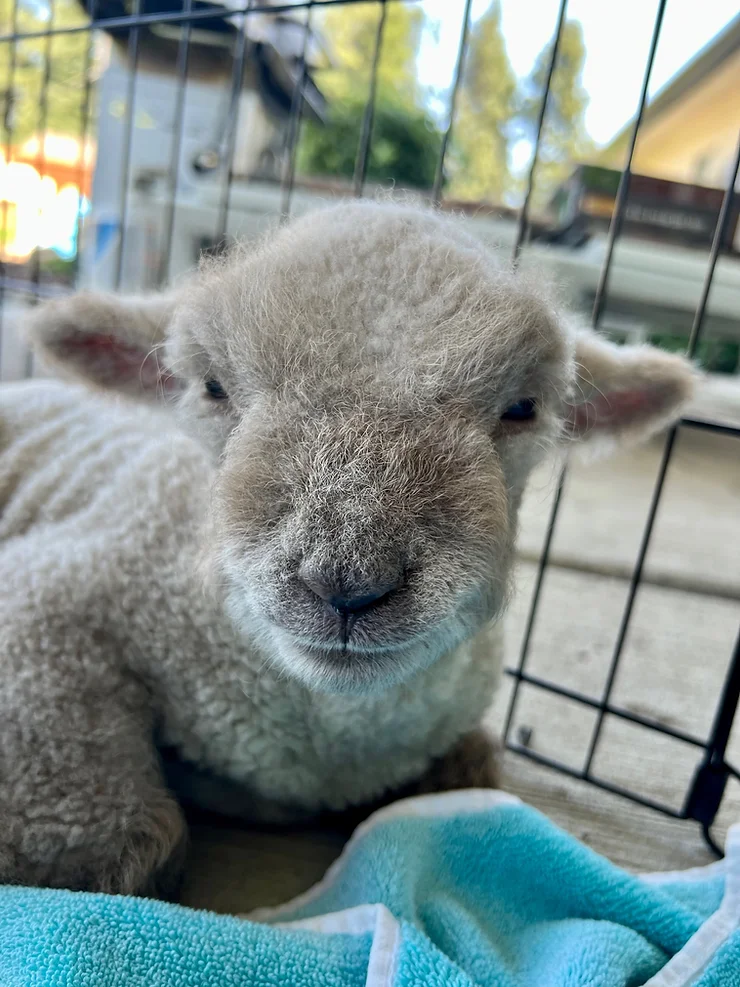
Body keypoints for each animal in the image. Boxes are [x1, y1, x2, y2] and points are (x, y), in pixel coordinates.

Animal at [0, 201, 692, 896]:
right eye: (212, 387)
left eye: (523, 407)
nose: (347, 585)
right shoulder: (49, 602)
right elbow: (131, 844)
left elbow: (470, 776)